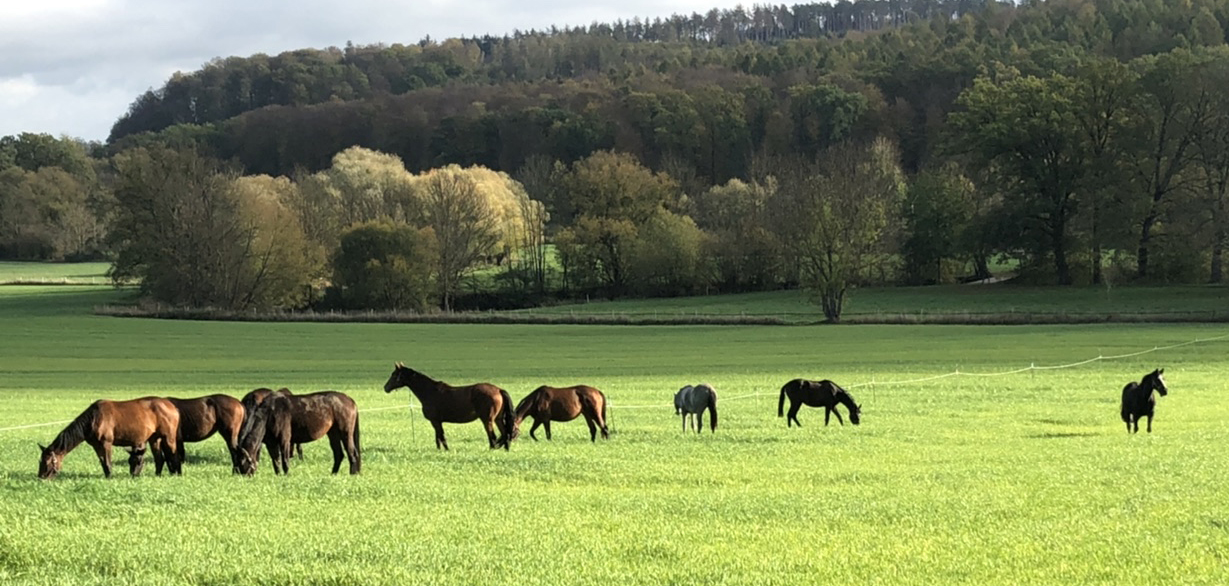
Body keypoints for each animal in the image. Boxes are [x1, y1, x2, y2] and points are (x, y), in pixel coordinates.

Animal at [39, 398, 181, 479]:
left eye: (47, 461)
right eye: (40, 461)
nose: (41, 477)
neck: (94, 418)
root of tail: (172, 406)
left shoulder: (106, 443)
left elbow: (108, 462)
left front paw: (110, 477)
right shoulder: (96, 446)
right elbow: (103, 462)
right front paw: (107, 475)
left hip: (168, 437)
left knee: (174, 455)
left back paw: (177, 473)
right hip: (154, 439)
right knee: (159, 459)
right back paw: (158, 475)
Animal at [385, 361, 516, 452]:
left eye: (394, 375)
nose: (385, 388)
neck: (430, 392)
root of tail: (498, 390)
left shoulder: (435, 421)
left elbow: (442, 437)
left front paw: (446, 450)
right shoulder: (436, 421)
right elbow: (438, 438)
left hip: (487, 420)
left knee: (493, 437)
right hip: (498, 419)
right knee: (506, 434)